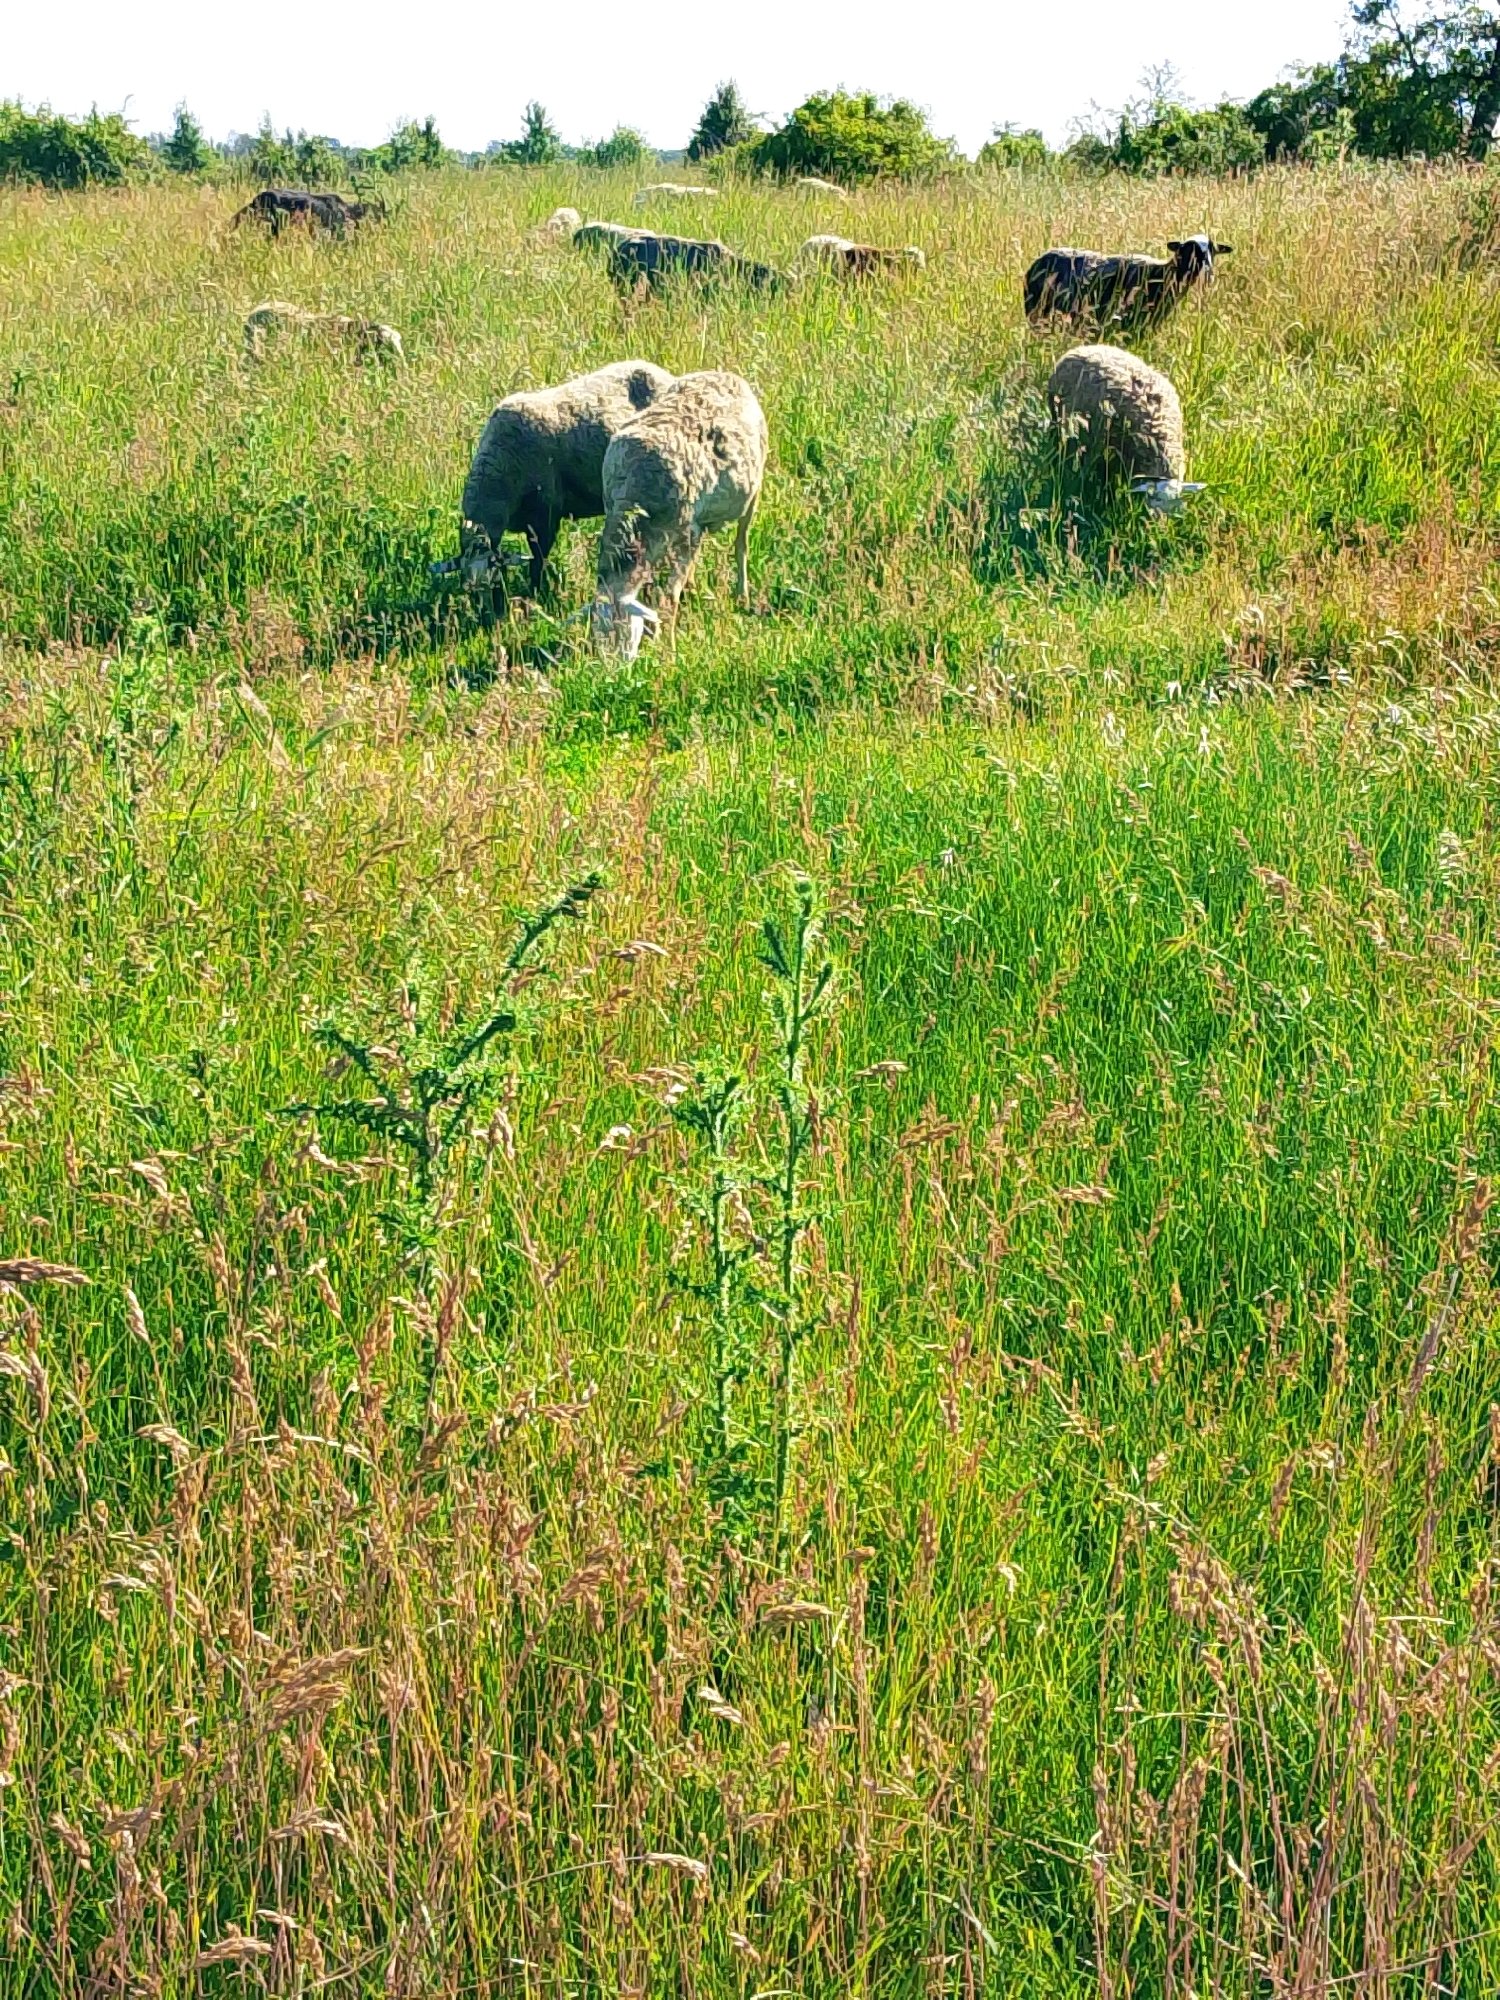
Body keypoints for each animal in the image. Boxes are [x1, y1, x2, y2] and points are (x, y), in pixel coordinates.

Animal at [593, 370, 768, 658]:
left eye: (624, 627)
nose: (615, 667)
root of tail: (723, 373)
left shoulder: (685, 534)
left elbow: (668, 598)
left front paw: (670, 648)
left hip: (752, 493)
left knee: (741, 544)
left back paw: (741, 594)